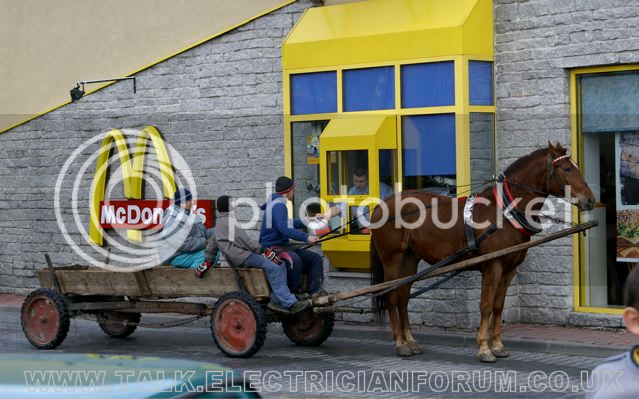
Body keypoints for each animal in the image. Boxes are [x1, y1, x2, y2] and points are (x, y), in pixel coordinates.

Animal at [370, 143, 596, 362]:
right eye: (566, 168)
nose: (590, 200)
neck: (504, 213)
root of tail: (382, 204)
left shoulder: (509, 269)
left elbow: (498, 306)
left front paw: (498, 345)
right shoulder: (492, 266)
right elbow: (486, 305)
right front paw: (484, 349)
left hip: (409, 259)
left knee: (403, 297)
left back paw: (411, 341)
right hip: (392, 259)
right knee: (391, 296)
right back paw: (400, 344)